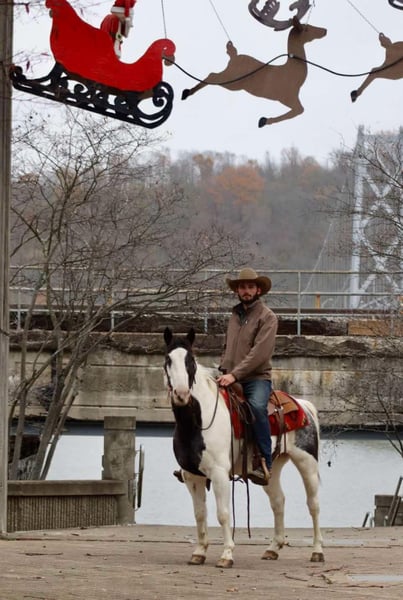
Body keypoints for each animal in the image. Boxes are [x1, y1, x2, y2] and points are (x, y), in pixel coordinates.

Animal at [163, 327, 324, 568]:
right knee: (278, 501)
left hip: (307, 463)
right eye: (168, 360)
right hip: (271, 468)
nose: (181, 394)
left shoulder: (219, 474)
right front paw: (199, 552)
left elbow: (223, 513)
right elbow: (200, 514)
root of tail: (302, 405)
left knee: (313, 504)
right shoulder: (192, 476)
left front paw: (227, 554)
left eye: (190, 361)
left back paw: (317, 551)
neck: (197, 422)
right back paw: (273, 548)